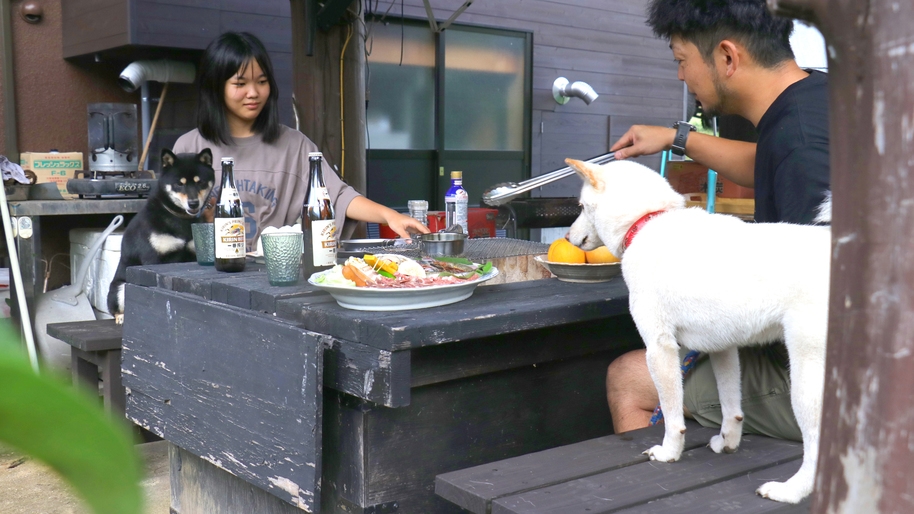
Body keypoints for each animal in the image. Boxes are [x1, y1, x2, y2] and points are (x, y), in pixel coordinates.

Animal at [108, 147, 215, 320]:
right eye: (179, 183)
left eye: (200, 182)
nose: (193, 203)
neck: (179, 218)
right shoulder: (154, 258)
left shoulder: (192, 253)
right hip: (120, 288)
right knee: (117, 308)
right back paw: (121, 318)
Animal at [564, 158, 828, 502]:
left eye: (581, 206)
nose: (567, 236)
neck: (647, 221)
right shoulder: (723, 347)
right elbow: (732, 407)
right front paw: (728, 442)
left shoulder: (659, 348)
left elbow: (672, 415)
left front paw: (669, 452)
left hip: (806, 379)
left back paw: (791, 490)